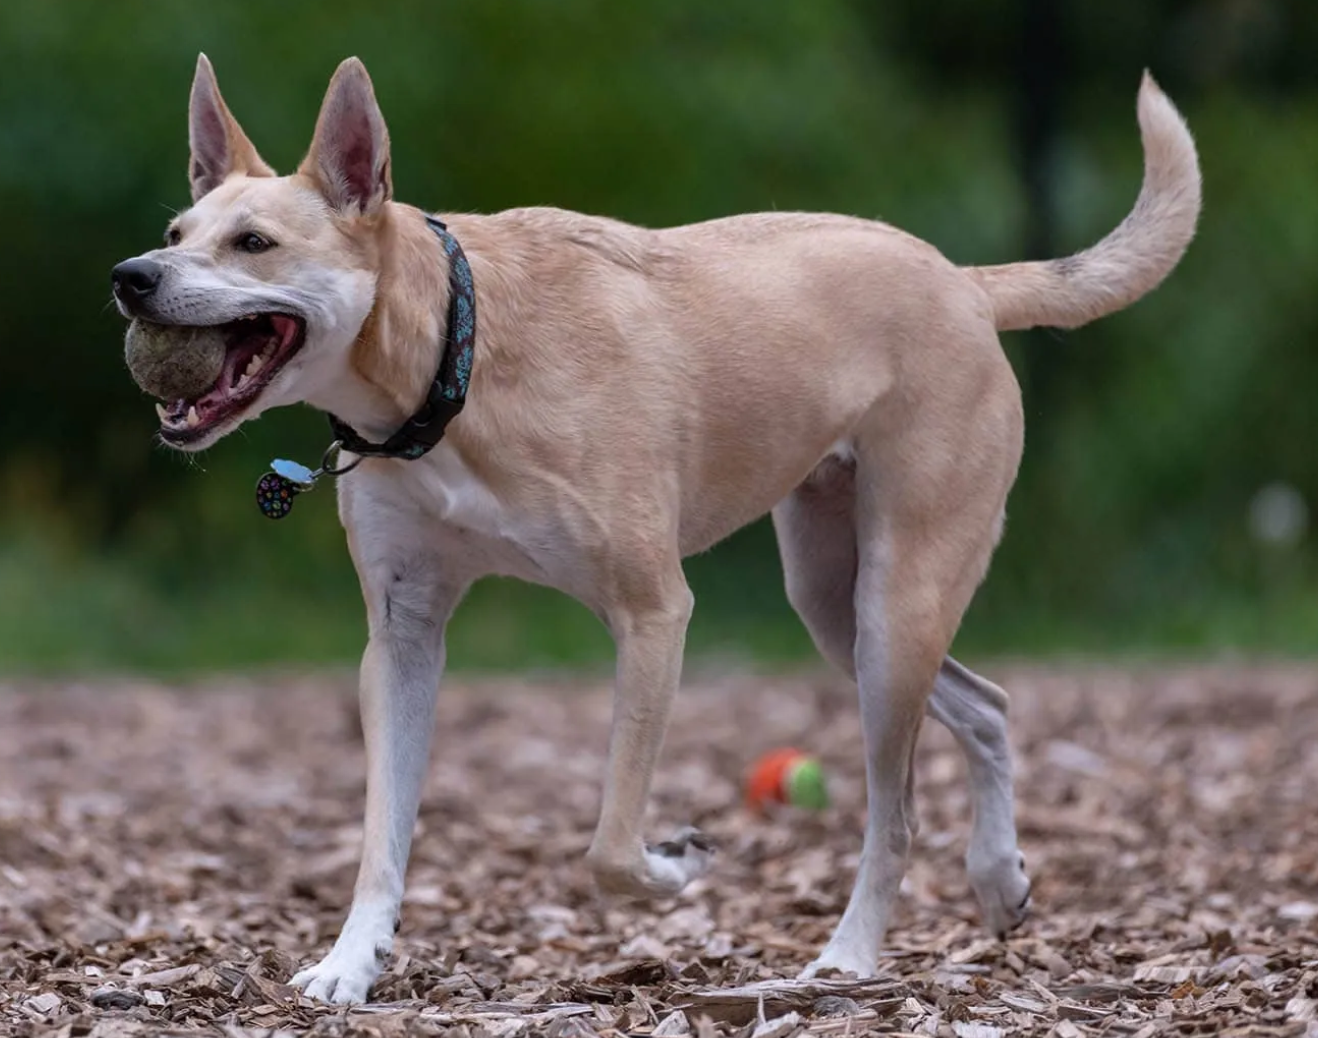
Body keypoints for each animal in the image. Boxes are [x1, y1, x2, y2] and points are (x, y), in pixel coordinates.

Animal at [113, 56, 1202, 1006]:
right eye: (175, 227)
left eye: (253, 243)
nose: (132, 275)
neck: (454, 361)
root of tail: (964, 282)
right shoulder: (403, 633)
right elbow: (382, 832)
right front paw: (349, 965)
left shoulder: (652, 615)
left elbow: (608, 845)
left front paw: (676, 865)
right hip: (834, 603)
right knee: (989, 706)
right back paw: (998, 880)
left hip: (896, 605)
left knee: (894, 814)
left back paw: (848, 960)